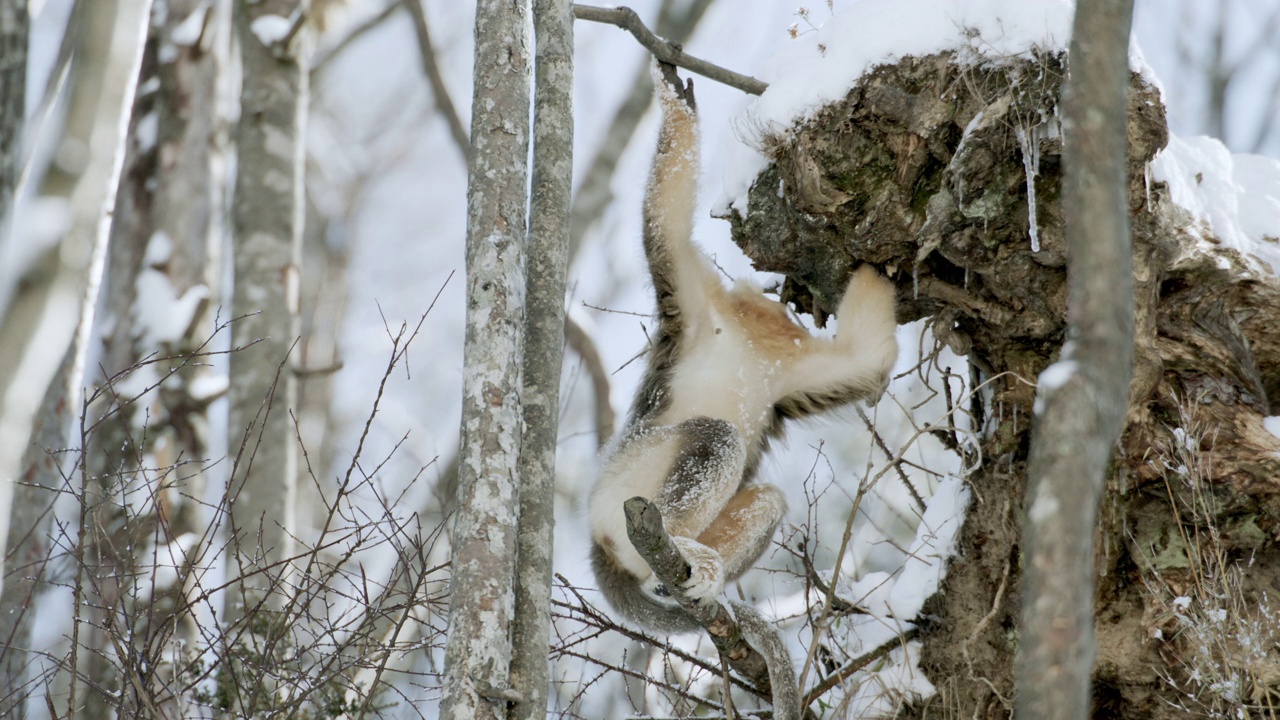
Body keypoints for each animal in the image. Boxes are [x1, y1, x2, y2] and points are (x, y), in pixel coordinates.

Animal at [588, 64, 901, 630]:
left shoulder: (790, 370)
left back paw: (690, 576)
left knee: (769, 501)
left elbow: (865, 359)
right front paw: (675, 98)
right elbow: (665, 219)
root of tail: (601, 553)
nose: (783, 313)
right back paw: (675, 555)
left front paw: (878, 263)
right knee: (718, 438)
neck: (754, 342)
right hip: (621, 484)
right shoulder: (694, 306)